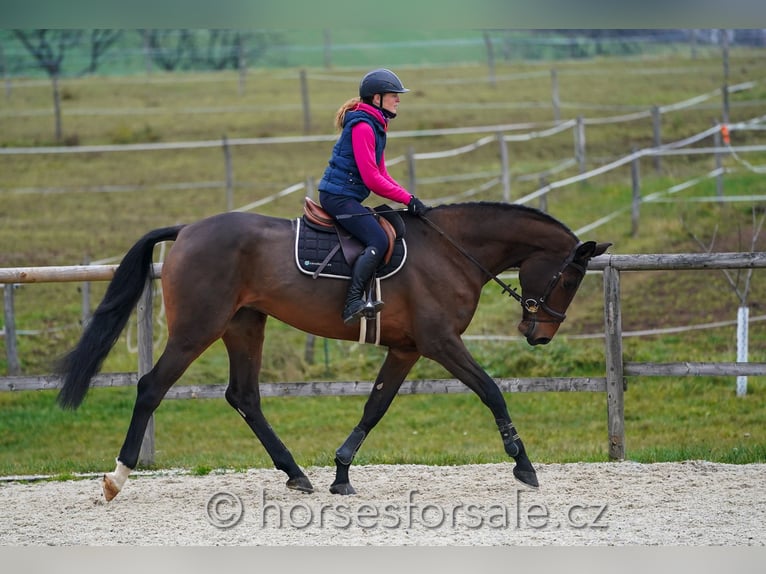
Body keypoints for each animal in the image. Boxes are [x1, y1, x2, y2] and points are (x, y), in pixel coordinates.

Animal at [54, 204, 612, 504]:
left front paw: (341, 473)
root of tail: (188, 229)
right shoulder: (440, 343)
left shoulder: (408, 349)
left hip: (244, 325)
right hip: (198, 328)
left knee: (244, 397)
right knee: (152, 387)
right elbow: (492, 390)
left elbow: (375, 407)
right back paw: (117, 477)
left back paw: (296, 473)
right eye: (571, 278)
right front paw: (524, 465)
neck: (452, 250)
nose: (539, 335)